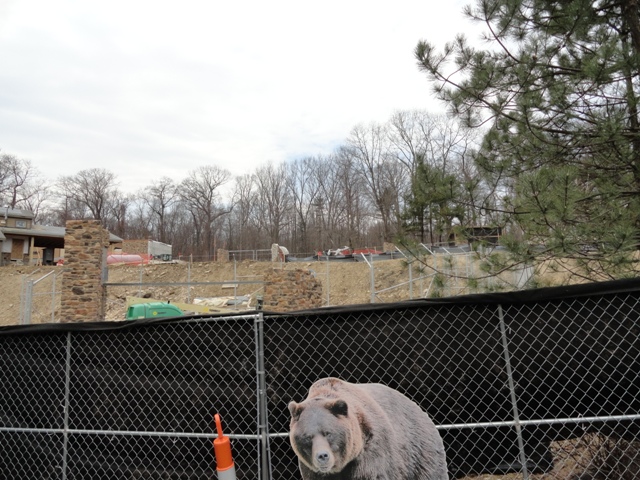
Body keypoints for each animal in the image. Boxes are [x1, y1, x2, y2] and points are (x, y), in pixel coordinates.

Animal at [288, 377, 449, 480]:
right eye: (307, 437)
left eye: (328, 433)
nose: (322, 456)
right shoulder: (311, 469)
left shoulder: (372, 451)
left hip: (419, 453)